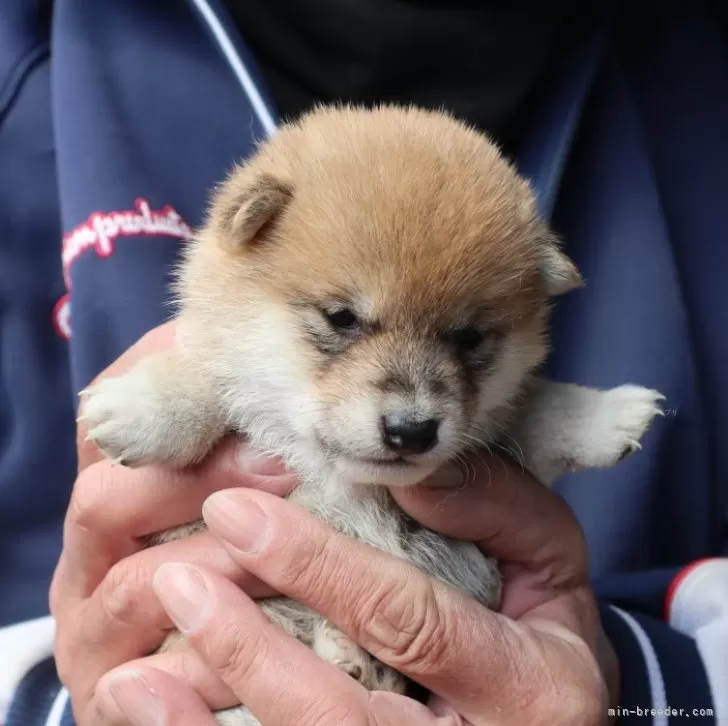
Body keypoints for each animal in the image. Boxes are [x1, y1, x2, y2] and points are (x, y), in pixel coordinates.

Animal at [79, 105, 664, 724]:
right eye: (342, 318)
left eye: (469, 337)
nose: (412, 430)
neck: (348, 482)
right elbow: (209, 379)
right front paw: (144, 407)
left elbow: (530, 405)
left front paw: (603, 413)